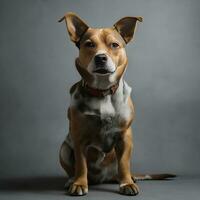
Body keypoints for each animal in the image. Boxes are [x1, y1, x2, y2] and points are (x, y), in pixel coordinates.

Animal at [58, 12, 175, 195]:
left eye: (114, 45)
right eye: (89, 44)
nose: (100, 57)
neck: (103, 91)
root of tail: (101, 179)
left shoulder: (125, 136)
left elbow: (124, 164)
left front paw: (126, 183)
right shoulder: (79, 138)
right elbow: (81, 165)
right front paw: (79, 183)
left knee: (119, 169)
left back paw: (127, 178)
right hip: (63, 149)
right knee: (73, 167)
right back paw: (72, 180)